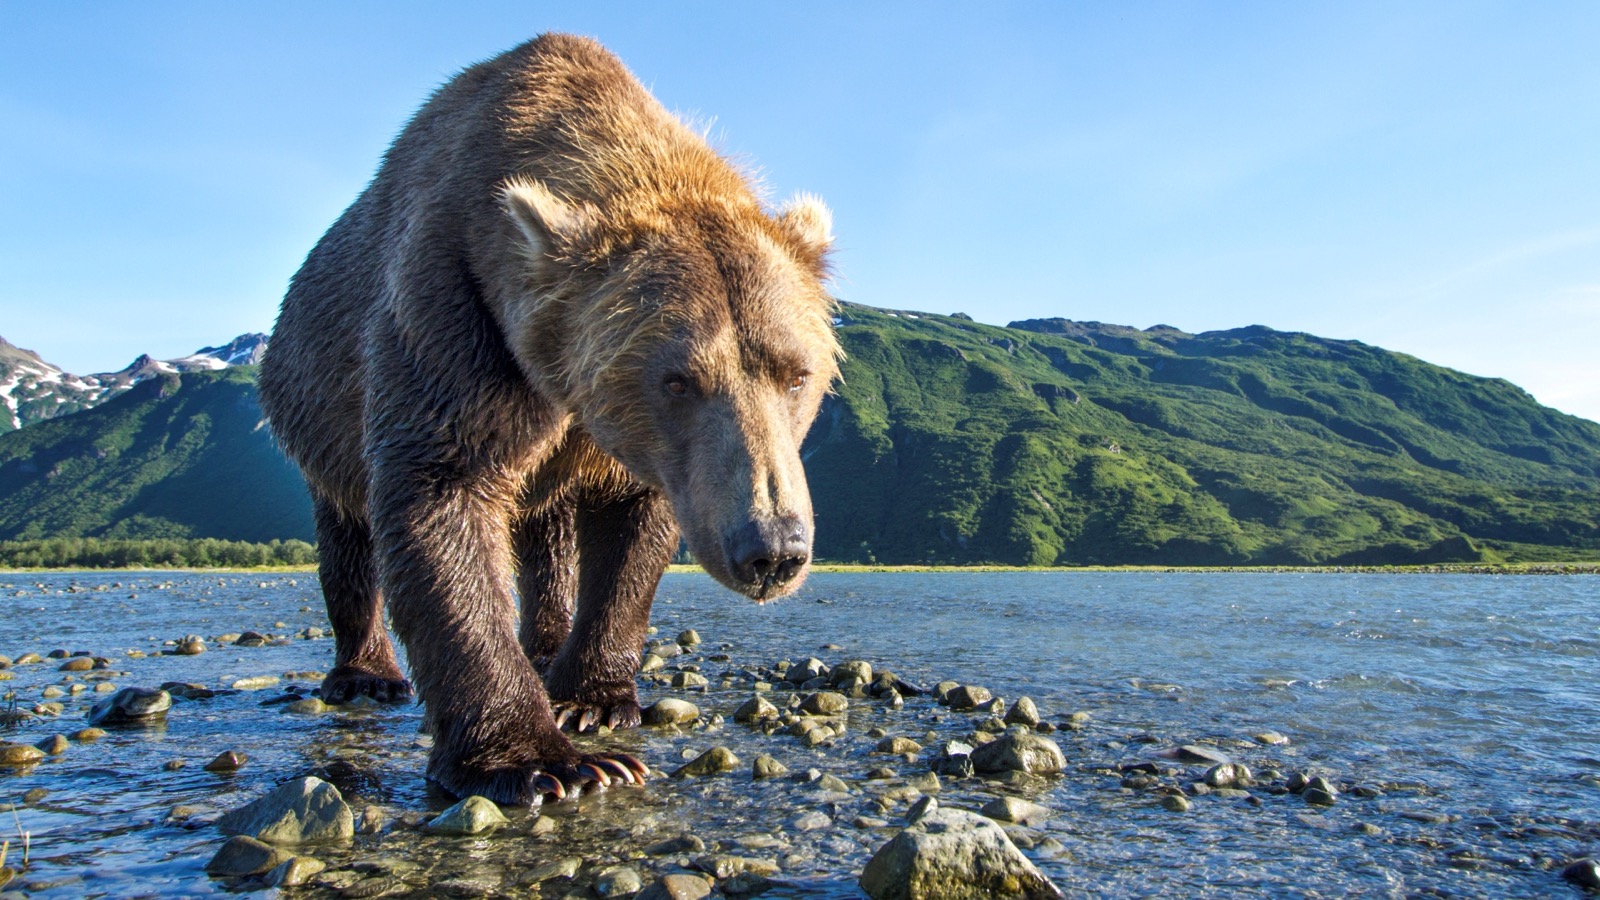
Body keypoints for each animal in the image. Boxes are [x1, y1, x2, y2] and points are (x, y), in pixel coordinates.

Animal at [258, 33, 840, 805]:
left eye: (796, 372)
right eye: (677, 379)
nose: (771, 549)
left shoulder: (637, 451)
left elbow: (633, 536)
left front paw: (591, 700)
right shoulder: (452, 316)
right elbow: (440, 494)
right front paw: (539, 761)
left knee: (548, 534)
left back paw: (545, 642)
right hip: (318, 412)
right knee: (348, 536)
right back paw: (367, 674)